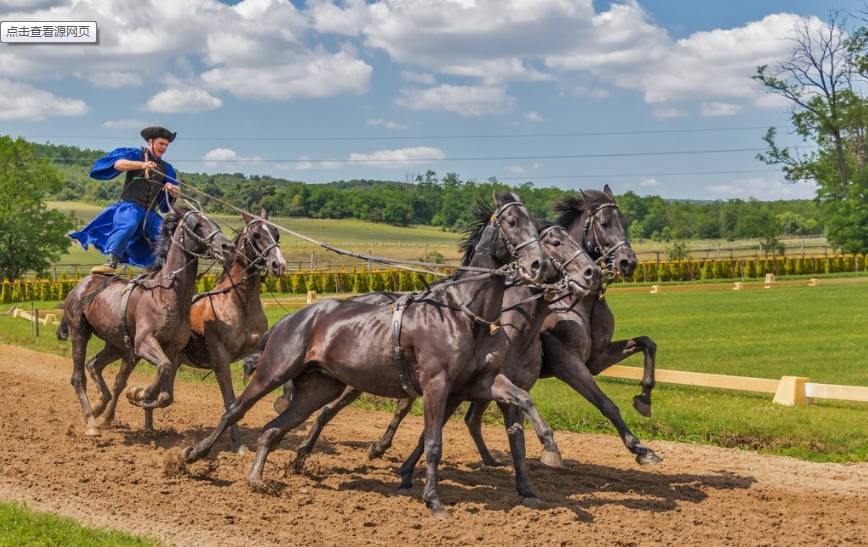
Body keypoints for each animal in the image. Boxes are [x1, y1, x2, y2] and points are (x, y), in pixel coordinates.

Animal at [180, 208, 288, 456]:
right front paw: (239, 444)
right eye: (256, 235)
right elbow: (230, 400)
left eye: (276, 234)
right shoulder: (221, 358)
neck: (238, 301)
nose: (278, 265)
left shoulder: (256, 351)